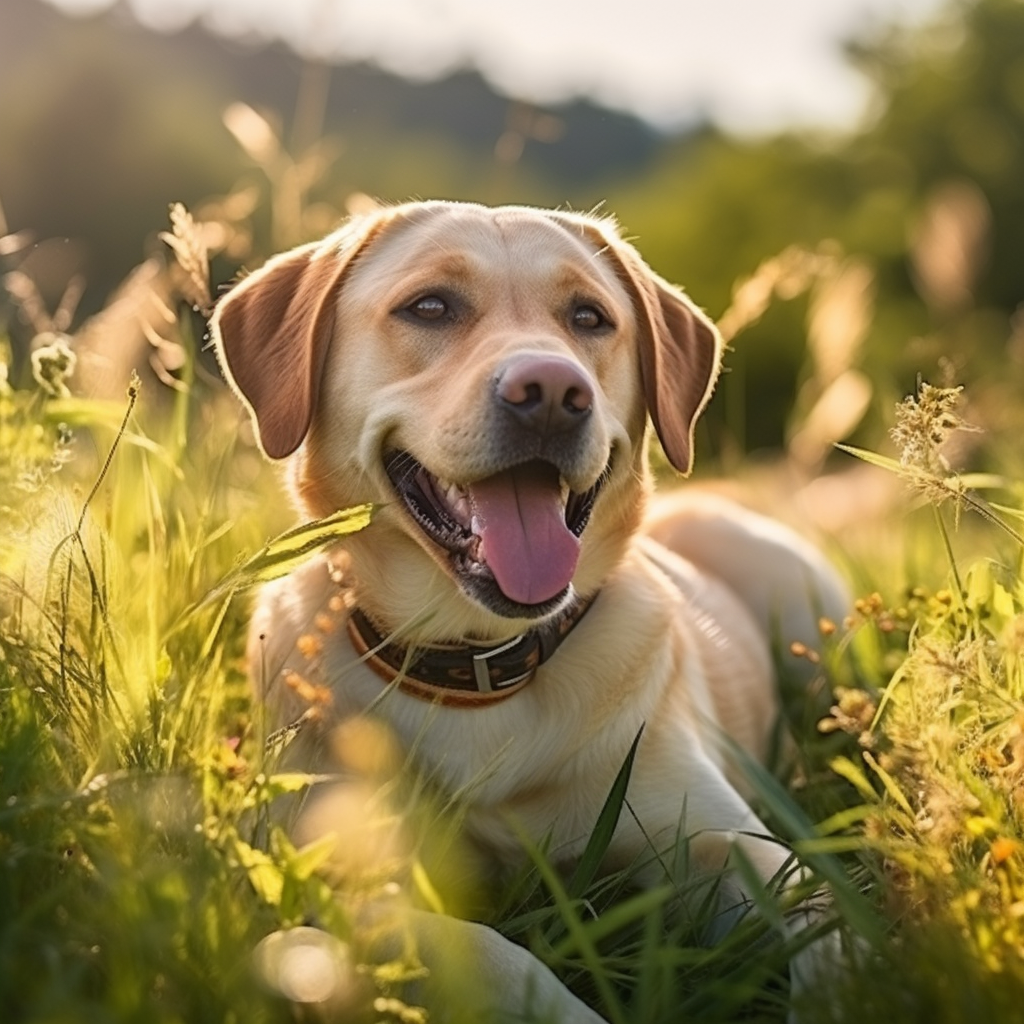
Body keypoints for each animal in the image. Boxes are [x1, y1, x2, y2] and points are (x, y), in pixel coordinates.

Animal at [209, 201, 847, 1024]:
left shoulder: (727, 843)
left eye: (589, 317)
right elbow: (480, 949)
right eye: (430, 307)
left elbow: (828, 931)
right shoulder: (322, 874)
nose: (551, 389)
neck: (480, 665)